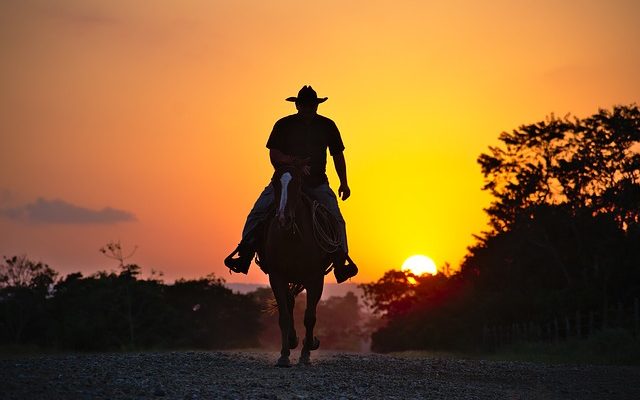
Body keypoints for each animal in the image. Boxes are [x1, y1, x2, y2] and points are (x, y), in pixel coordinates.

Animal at [256, 165, 332, 366]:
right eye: (274, 182)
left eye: (297, 183)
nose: (283, 218)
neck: (293, 237)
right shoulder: (276, 277)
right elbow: (283, 316)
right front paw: (284, 355)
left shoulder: (315, 278)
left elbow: (309, 317)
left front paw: (306, 352)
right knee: (289, 304)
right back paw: (292, 340)